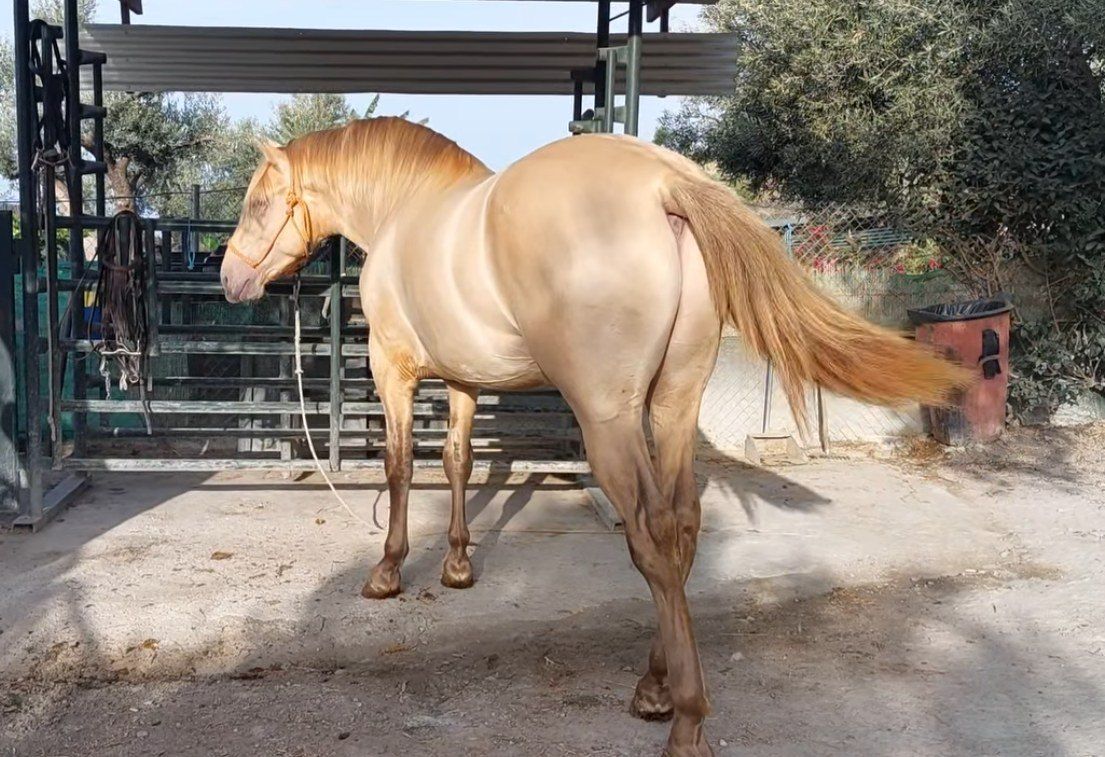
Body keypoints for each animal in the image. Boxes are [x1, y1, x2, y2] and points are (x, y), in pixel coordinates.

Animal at [220, 117, 967, 756]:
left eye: (258, 203)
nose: (230, 278)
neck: (407, 214)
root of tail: (663, 181)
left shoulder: (392, 370)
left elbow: (402, 466)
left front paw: (386, 572)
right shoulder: (462, 379)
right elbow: (460, 461)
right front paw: (457, 565)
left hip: (607, 416)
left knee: (651, 534)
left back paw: (685, 719)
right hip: (672, 404)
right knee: (683, 522)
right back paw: (654, 687)